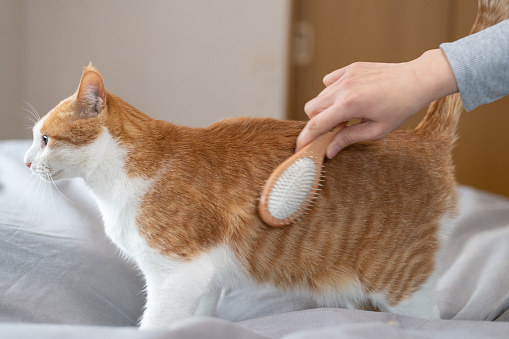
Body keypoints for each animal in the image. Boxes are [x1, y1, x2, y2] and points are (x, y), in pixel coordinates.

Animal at [22, 0, 504, 330]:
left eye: (44, 139)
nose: (25, 162)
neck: (117, 177)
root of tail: (419, 137)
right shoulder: (203, 278)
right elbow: (198, 314)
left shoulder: (176, 274)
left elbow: (157, 323)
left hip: (401, 283)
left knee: (428, 319)